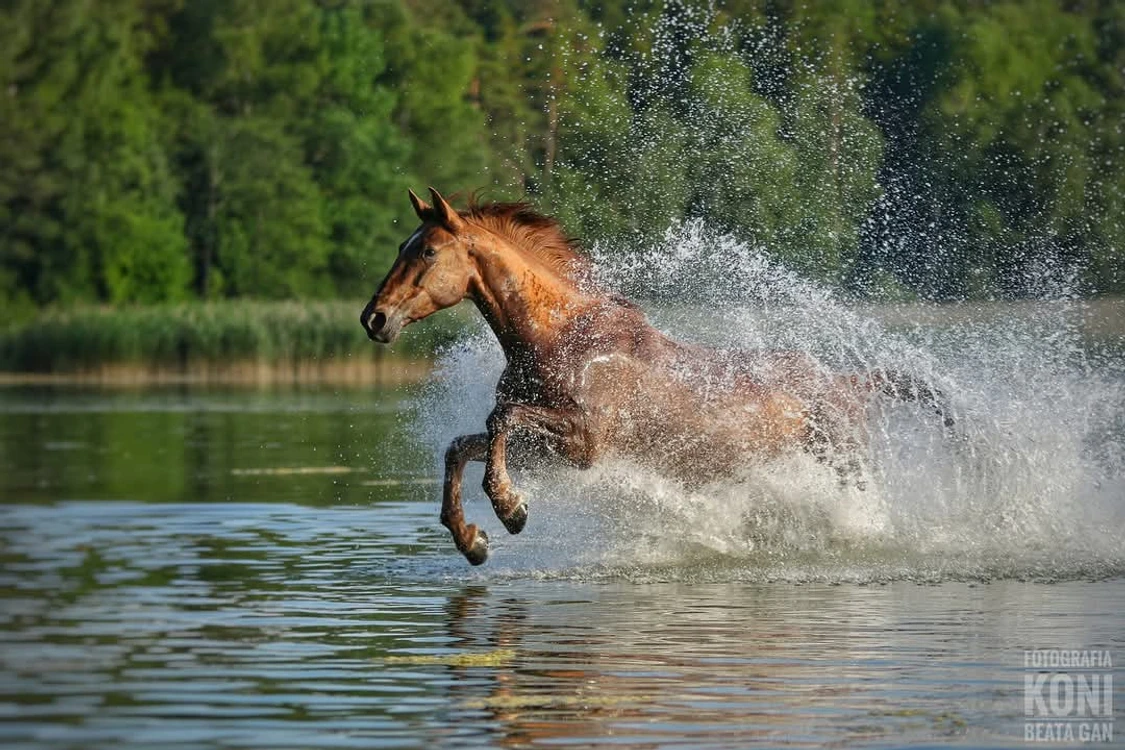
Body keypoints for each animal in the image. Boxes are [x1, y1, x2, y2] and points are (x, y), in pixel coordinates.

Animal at [357, 191, 949, 566]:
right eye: (402, 246)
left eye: (427, 250)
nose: (374, 318)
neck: (560, 338)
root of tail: (848, 383)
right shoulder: (549, 450)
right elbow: (461, 446)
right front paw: (473, 540)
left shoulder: (586, 442)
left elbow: (501, 416)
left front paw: (511, 509)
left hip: (845, 469)